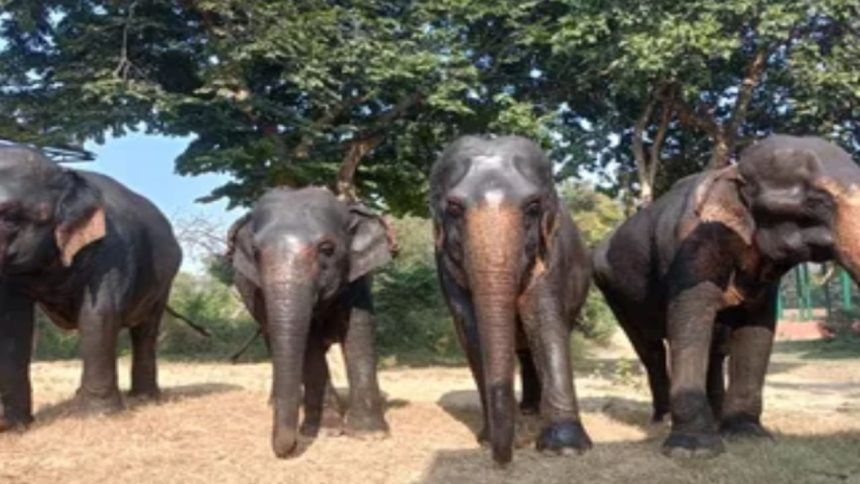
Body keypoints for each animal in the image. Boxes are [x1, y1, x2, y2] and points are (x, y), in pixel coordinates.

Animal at [0, 145, 181, 430]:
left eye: (10, 218)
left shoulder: (112, 249)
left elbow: (98, 315)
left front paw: (99, 416)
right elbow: (12, 323)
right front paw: (15, 427)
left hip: (164, 281)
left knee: (146, 329)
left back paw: (145, 398)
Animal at [228, 186, 396, 458]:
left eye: (327, 249)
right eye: (255, 253)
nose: (284, 451)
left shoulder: (357, 279)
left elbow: (358, 333)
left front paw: (369, 434)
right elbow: (309, 343)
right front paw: (324, 431)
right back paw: (279, 403)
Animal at [430, 135, 593, 464]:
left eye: (533, 206)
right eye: (453, 207)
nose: (504, 458)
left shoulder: (551, 252)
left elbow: (543, 320)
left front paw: (565, 448)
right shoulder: (445, 262)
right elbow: (471, 329)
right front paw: (492, 439)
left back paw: (534, 411)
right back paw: (528, 410)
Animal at [593, 134, 860, 457]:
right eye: (816, 203)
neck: (732, 171)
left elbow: (756, 327)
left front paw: (747, 435)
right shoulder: (692, 244)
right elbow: (689, 318)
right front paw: (692, 450)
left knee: (714, 346)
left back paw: (715, 418)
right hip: (612, 290)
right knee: (650, 348)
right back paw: (662, 419)